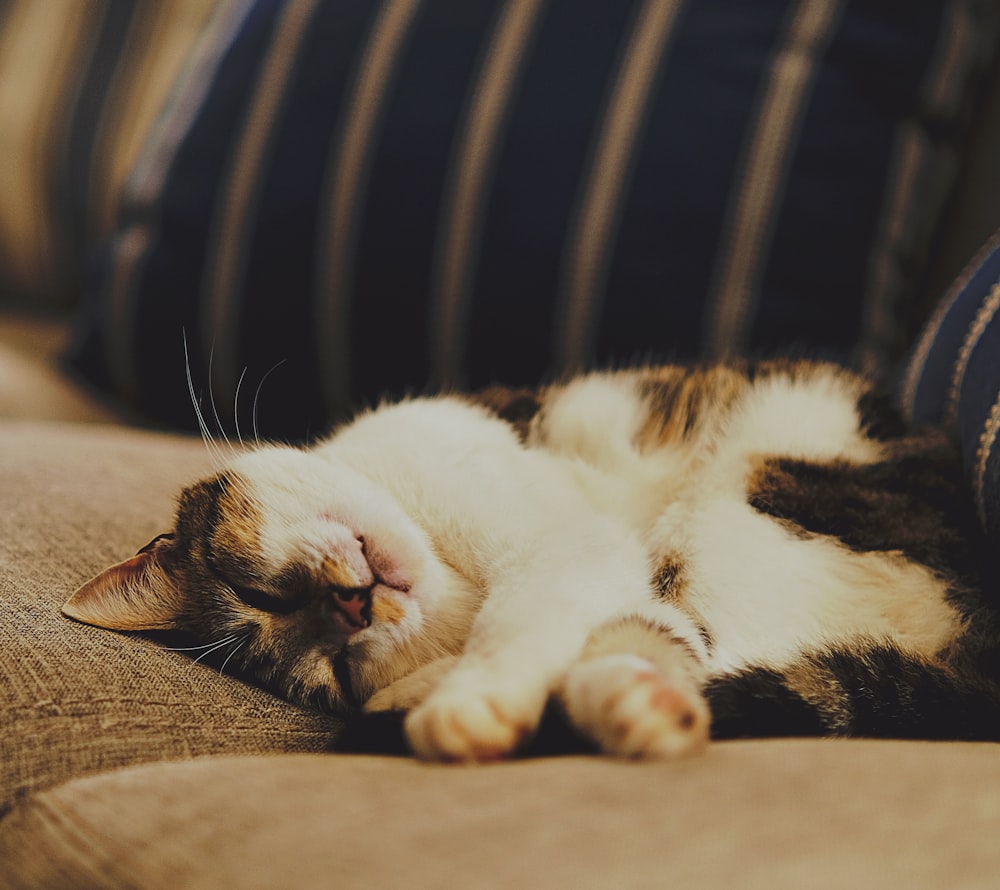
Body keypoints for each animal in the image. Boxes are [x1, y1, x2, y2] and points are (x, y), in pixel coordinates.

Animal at [62, 358, 1000, 760]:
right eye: (327, 671)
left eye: (255, 589)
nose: (350, 605)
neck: (453, 577)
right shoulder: (595, 565)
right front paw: (429, 693)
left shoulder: (555, 542)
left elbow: (519, 621)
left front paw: (468, 703)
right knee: (688, 649)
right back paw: (634, 705)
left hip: (752, 491)